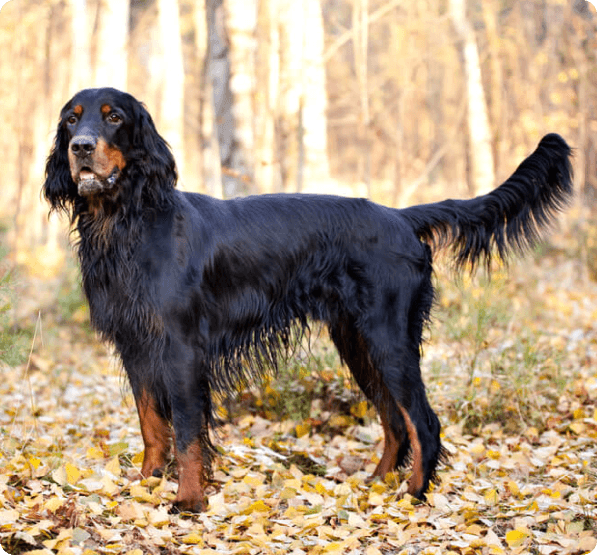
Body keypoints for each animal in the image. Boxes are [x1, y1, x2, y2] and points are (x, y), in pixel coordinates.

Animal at [43, 88, 576, 512]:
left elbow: (189, 432)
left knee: (423, 422)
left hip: (388, 337)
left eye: (114, 116)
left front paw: (189, 500)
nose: (80, 147)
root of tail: (401, 217)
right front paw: (146, 484)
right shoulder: (137, 346)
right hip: (357, 342)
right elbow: (153, 425)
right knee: (395, 420)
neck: (127, 223)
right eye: (71, 118)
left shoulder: (181, 349)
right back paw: (377, 482)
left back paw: (414, 495)